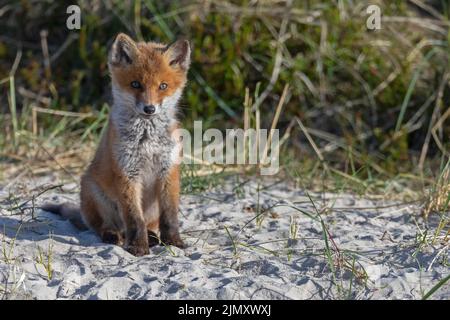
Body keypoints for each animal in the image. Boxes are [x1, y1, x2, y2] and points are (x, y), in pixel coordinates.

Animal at [41, 32, 189, 256]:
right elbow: (134, 219)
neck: (147, 139)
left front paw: (173, 242)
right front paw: (138, 247)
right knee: (106, 227)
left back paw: (152, 237)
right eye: (136, 84)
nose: (149, 109)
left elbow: (170, 217)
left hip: (152, 207)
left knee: (148, 225)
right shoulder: (127, 172)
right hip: (95, 193)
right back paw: (113, 235)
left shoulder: (168, 170)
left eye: (163, 86)